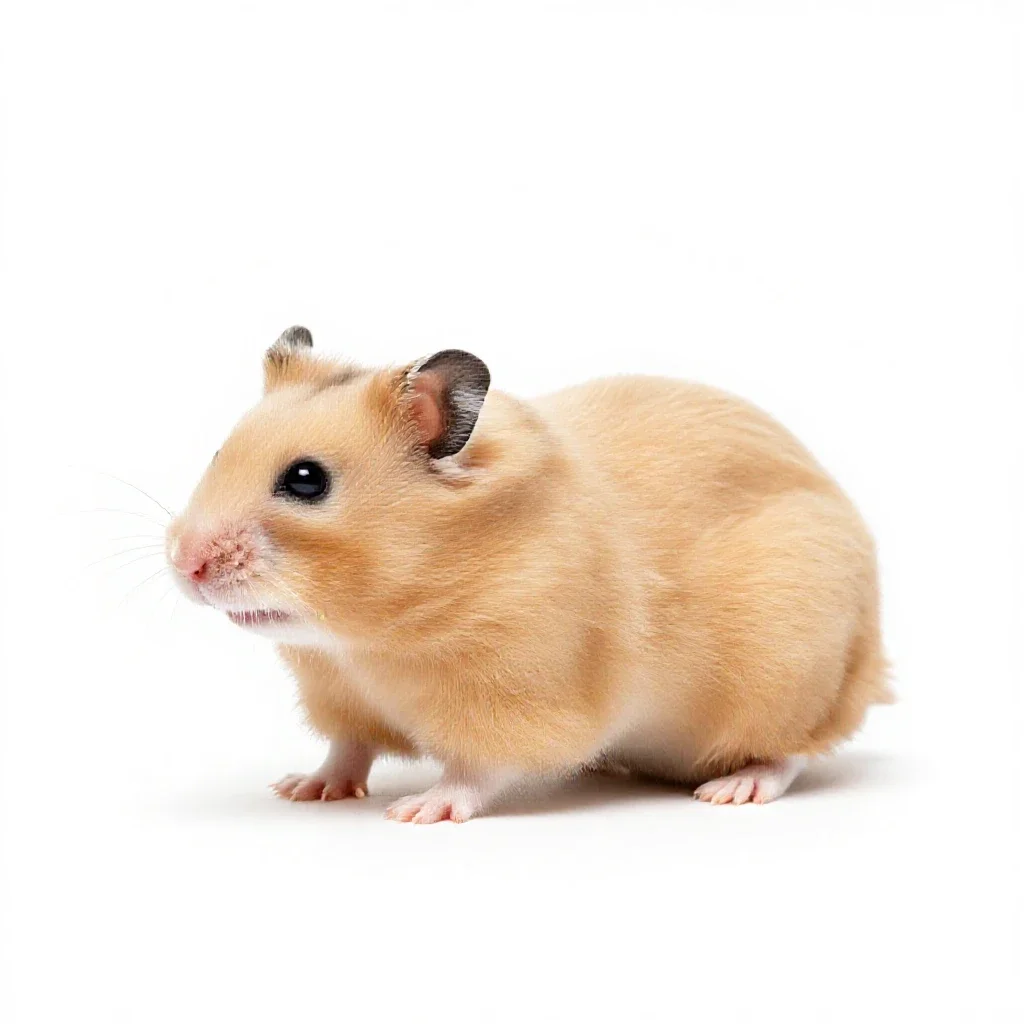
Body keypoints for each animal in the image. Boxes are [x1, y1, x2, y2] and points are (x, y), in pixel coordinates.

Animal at [166, 326, 892, 823]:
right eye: (220, 453)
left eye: (306, 480)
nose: (184, 565)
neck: (372, 639)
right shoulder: (341, 695)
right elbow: (347, 748)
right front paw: (302, 789)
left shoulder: (519, 694)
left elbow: (477, 770)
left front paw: (416, 811)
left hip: (793, 674)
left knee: (794, 750)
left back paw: (732, 789)